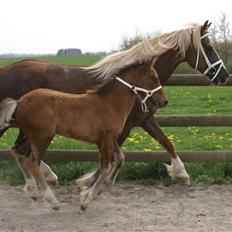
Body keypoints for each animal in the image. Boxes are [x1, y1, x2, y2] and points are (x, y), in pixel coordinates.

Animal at [0, 20, 228, 186]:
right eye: (209, 47)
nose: (225, 76)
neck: (131, 83)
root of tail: (6, 70)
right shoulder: (122, 127)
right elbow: (112, 155)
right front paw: (89, 181)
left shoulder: (145, 120)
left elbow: (166, 142)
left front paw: (182, 174)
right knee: (22, 151)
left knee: (21, 151)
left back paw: (47, 175)